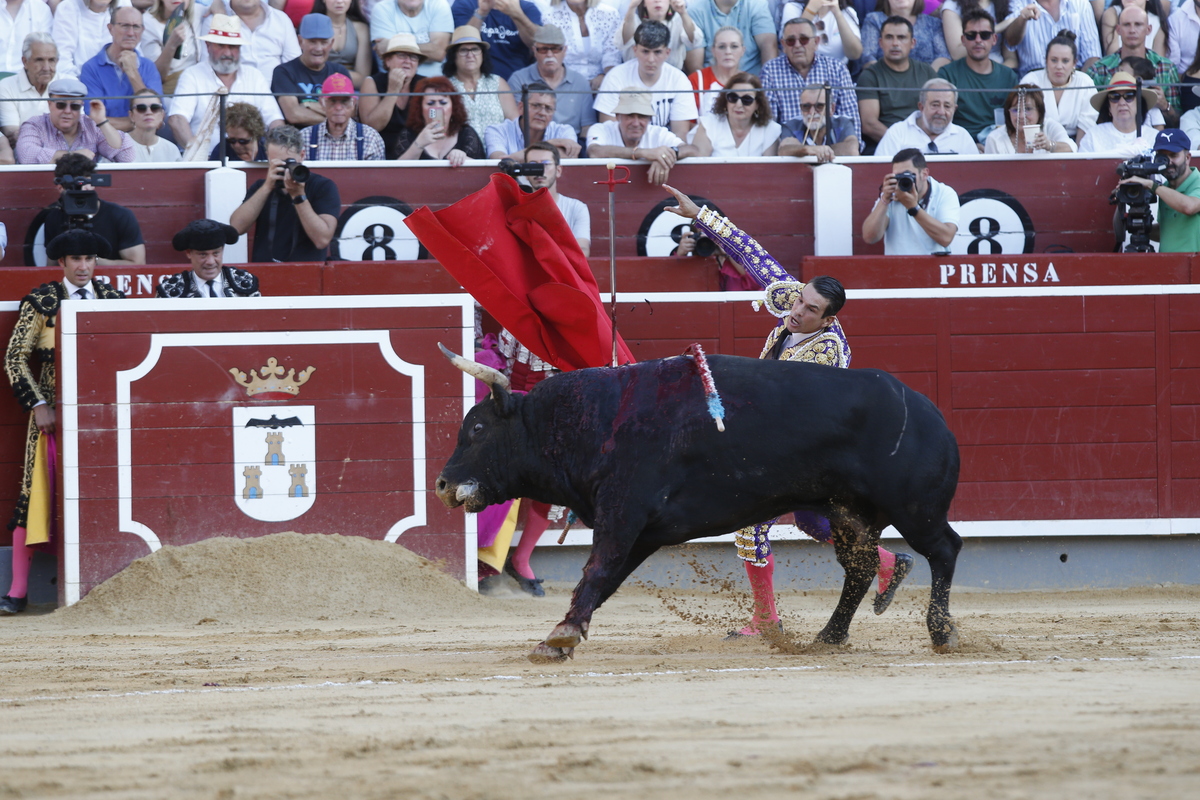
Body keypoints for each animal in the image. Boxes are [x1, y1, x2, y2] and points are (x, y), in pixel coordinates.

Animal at [436, 352, 960, 662]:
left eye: (478, 429)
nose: (443, 484)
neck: (587, 420)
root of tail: (932, 412)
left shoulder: (622, 516)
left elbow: (596, 570)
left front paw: (560, 635)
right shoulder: (638, 531)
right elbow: (604, 580)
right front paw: (563, 634)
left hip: (915, 509)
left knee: (944, 549)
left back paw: (942, 634)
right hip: (848, 511)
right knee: (862, 565)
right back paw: (828, 637)